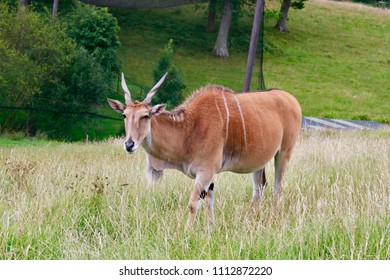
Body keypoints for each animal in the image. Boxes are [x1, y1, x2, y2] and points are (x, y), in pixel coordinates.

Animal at [108, 73, 304, 229]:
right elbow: (209, 201)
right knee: (260, 187)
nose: (129, 144)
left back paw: (273, 218)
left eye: (146, 116)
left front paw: (186, 233)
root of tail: (291, 99)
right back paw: (249, 219)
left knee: (278, 186)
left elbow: (193, 204)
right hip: (259, 162)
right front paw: (211, 230)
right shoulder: (209, 176)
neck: (189, 129)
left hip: (284, 152)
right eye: (124, 115)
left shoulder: (205, 172)